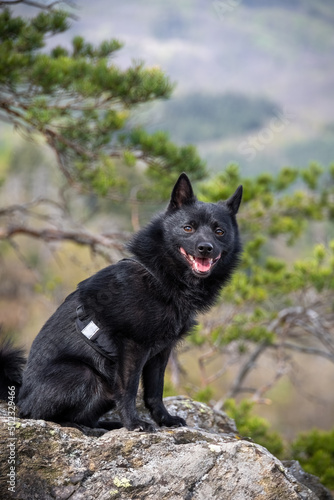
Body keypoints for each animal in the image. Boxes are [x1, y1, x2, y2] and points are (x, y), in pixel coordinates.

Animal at [0, 174, 241, 432]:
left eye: (219, 231)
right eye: (188, 228)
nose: (205, 248)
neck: (160, 278)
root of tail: (20, 396)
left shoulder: (160, 352)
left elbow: (154, 392)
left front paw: (164, 419)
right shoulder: (133, 347)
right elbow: (128, 390)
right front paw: (134, 423)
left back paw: (107, 425)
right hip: (83, 374)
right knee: (41, 415)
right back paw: (79, 427)